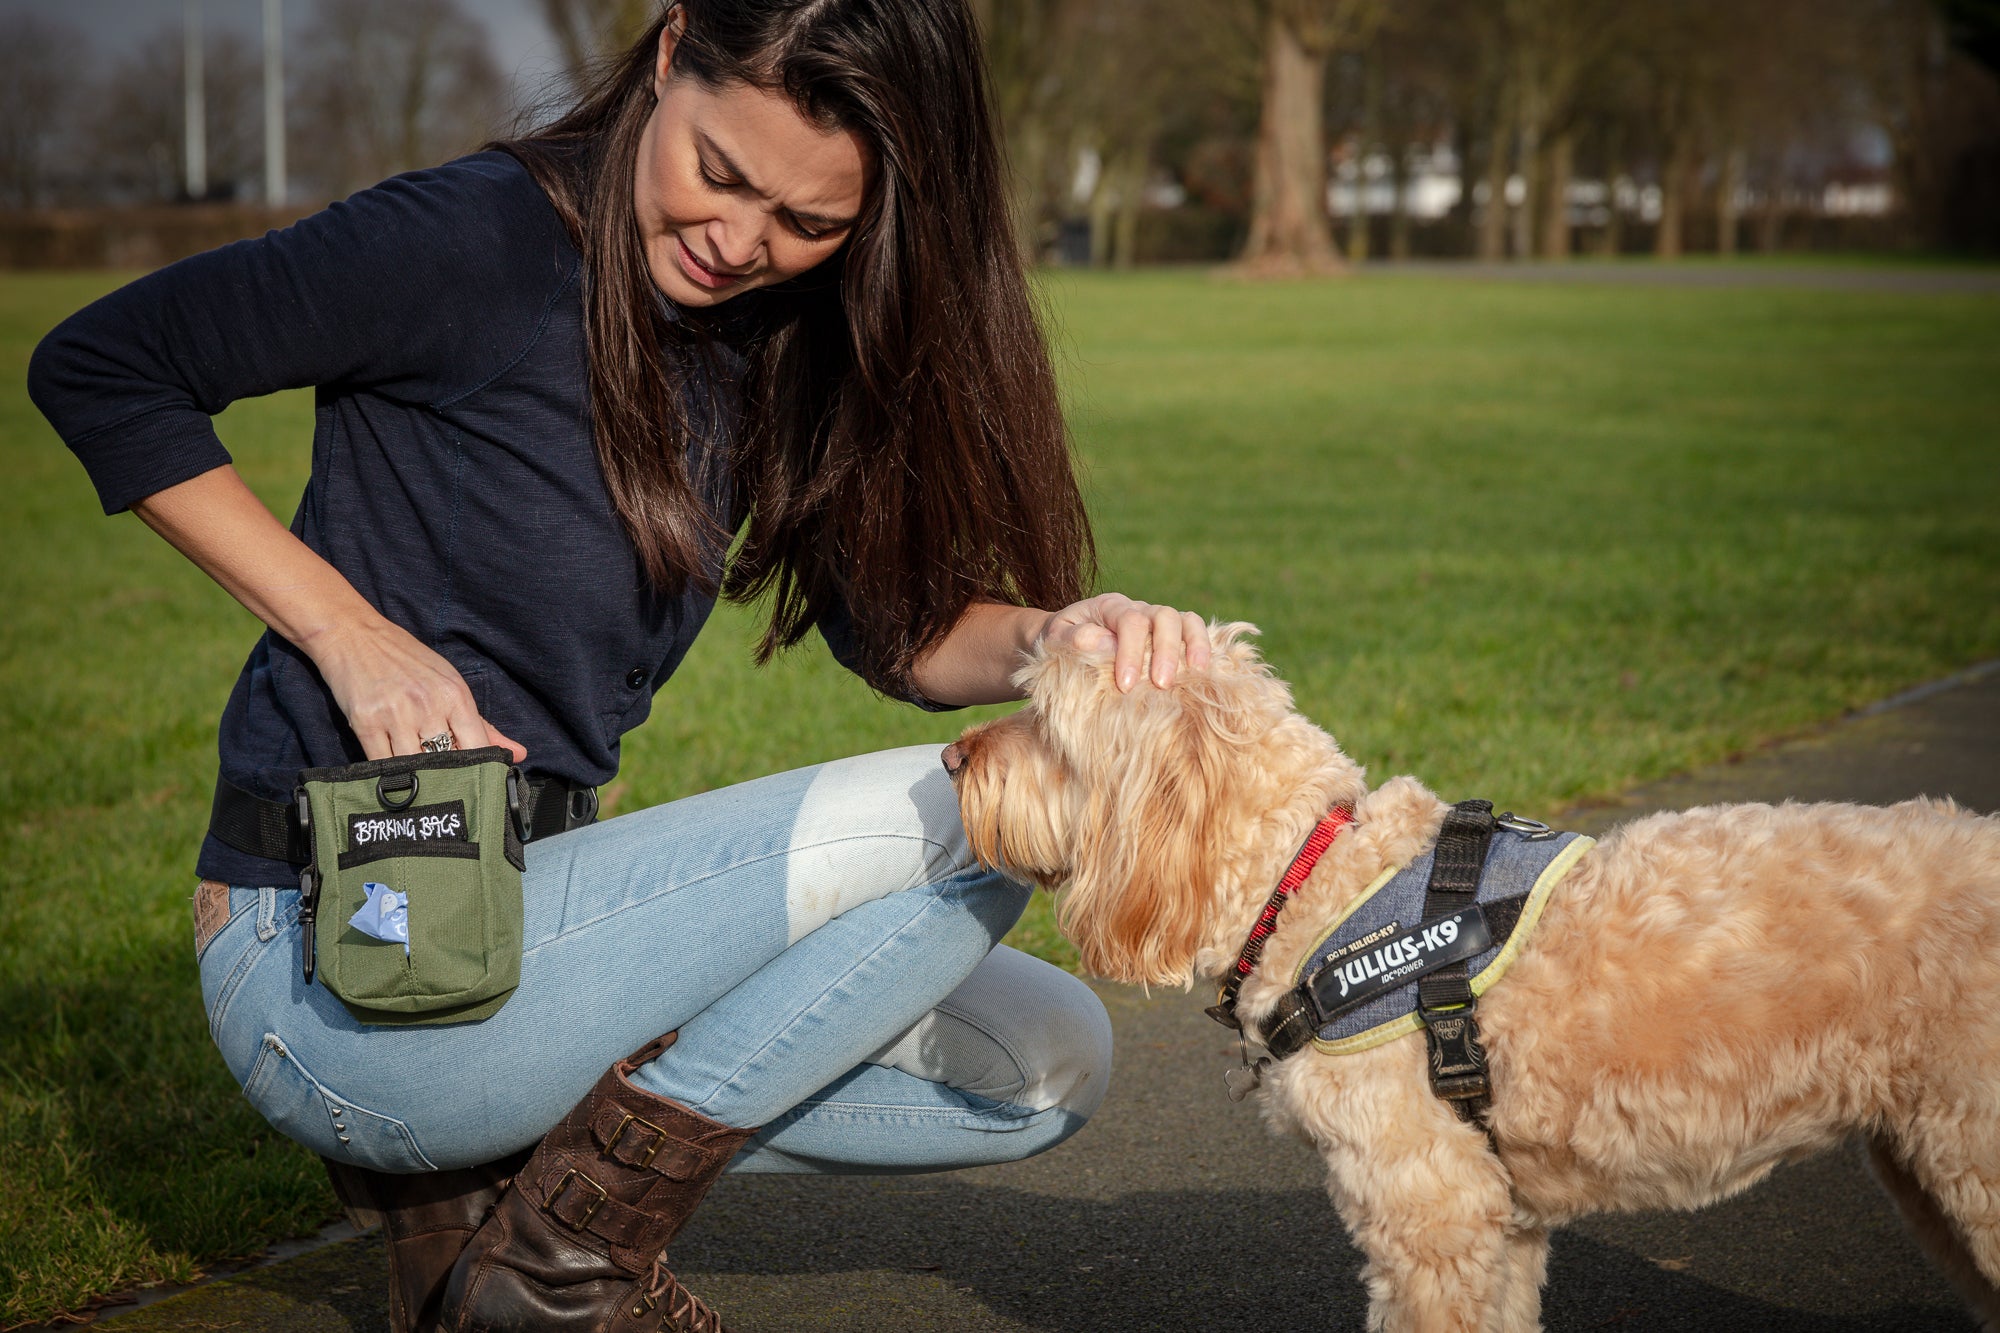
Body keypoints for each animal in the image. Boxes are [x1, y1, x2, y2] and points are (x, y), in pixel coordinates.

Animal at [944, 624, 2000, 1328]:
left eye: (1043, 719)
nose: (951, 753)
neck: (1312, 875)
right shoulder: (1500, 1217)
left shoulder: (1429, 1209)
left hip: (1973, 1154)